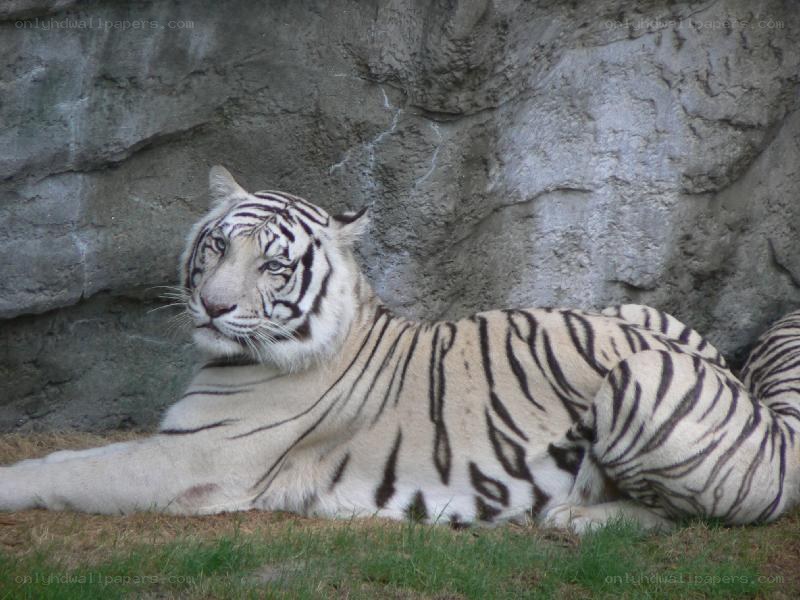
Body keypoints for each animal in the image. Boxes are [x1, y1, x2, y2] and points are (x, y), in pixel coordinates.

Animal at [1, 165, 797, 534]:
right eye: (218, 247)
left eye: (274, 266)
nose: (214, 306)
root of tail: (755, 402)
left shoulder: (191, 461)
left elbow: (68, 466)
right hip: (632, 313)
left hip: (639, 376)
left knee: (688, 516)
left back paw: (572, 519)